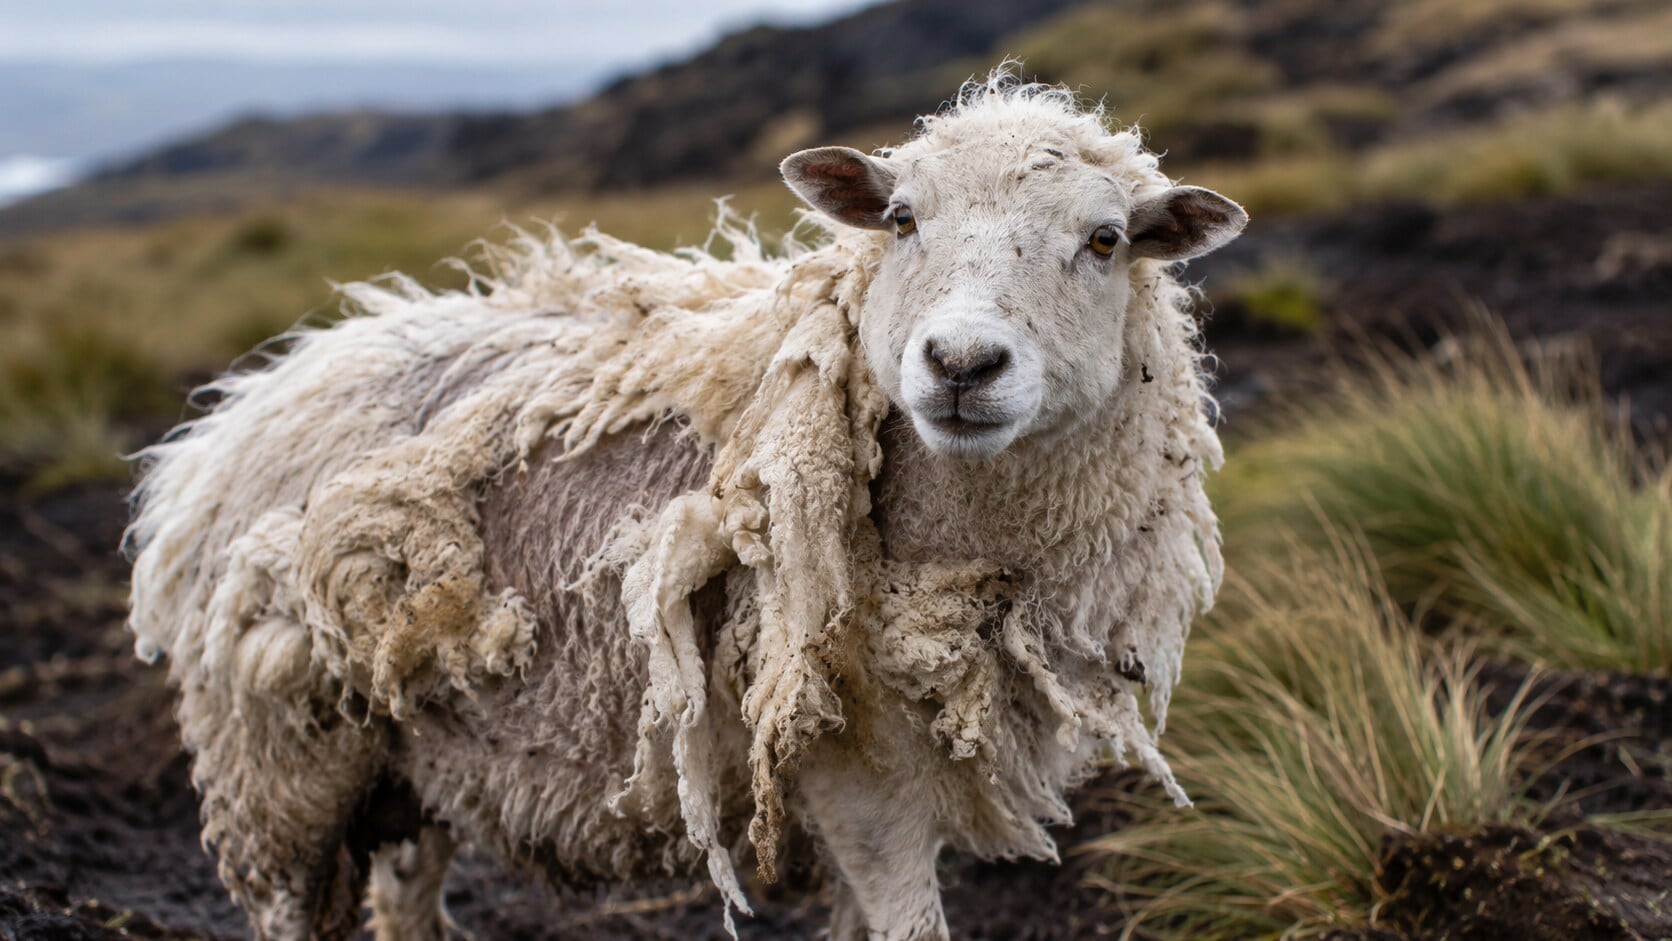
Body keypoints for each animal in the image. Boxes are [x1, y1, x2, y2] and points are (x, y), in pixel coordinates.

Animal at [125, 71, 1245, 941]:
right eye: (901, 221)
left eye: (1105, 239)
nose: (961, 364)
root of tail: (251, 396)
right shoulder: (857, 767)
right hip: (281, 754)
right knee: (291, 898)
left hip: (413, 737)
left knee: (404, 895)